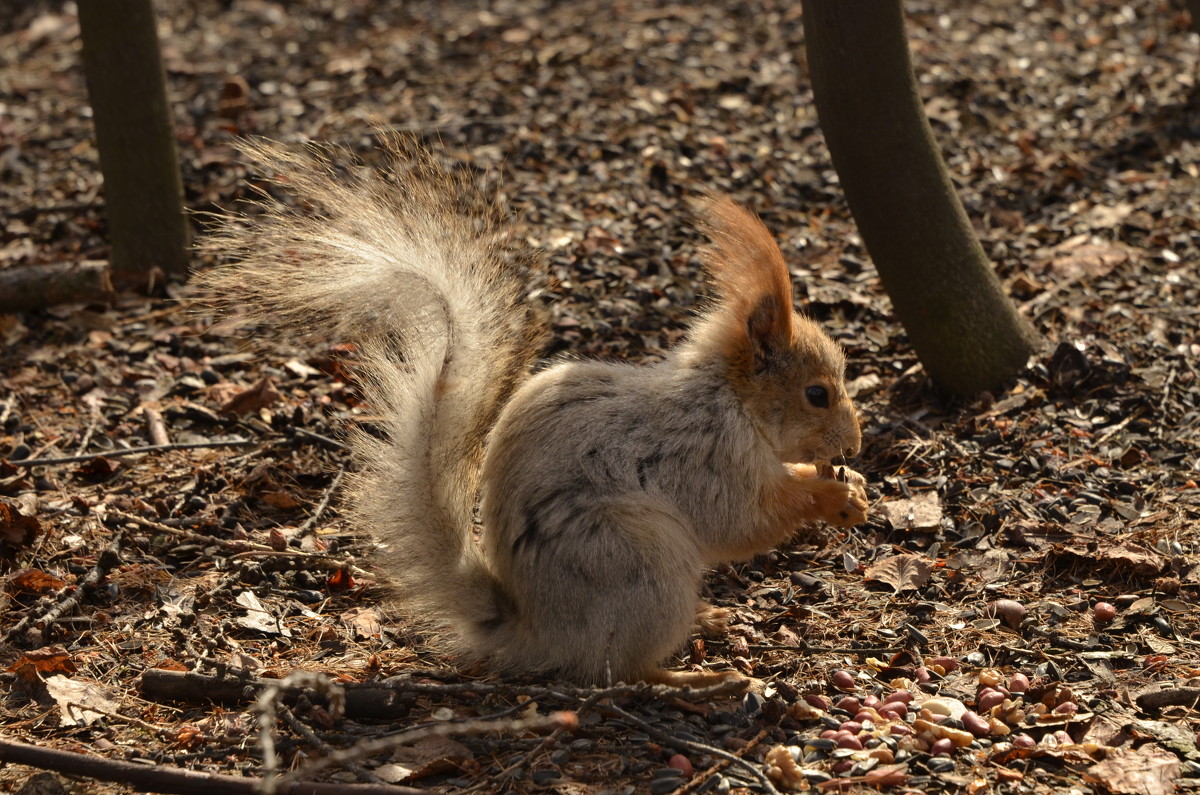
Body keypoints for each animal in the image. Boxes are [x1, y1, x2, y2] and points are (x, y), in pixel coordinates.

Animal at [201, 133, 868, 686]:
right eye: (817, 393)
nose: (855, 446)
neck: (729, 400)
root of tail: (534, 628)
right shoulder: (703, 454)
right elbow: (742, 519)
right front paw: (832, 496)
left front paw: (851, 484)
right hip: (640, 561)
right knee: (623, 670)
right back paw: (702, 679)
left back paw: (708, 624)